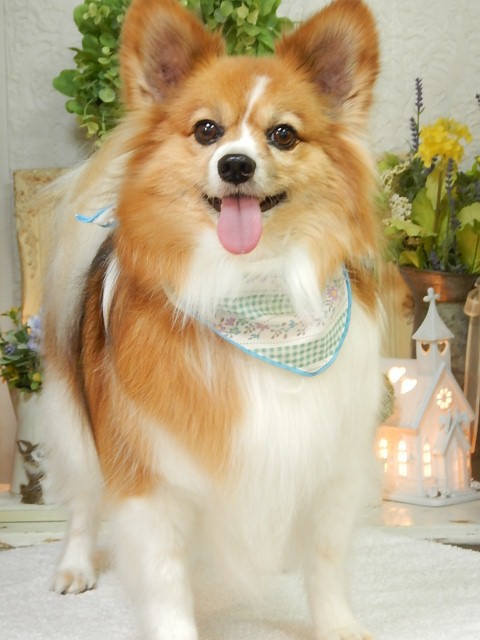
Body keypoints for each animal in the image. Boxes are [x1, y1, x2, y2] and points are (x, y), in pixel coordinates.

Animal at [40, 0, 382, 638]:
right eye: (206, 130)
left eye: (283, 134)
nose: (236, 164)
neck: (253, 290)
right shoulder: (149, 473)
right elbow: (165, 581)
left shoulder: (327, 461)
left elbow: (325, 565)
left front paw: (338, 626)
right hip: (75, 423)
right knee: (82, 502)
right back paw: (75, 566)